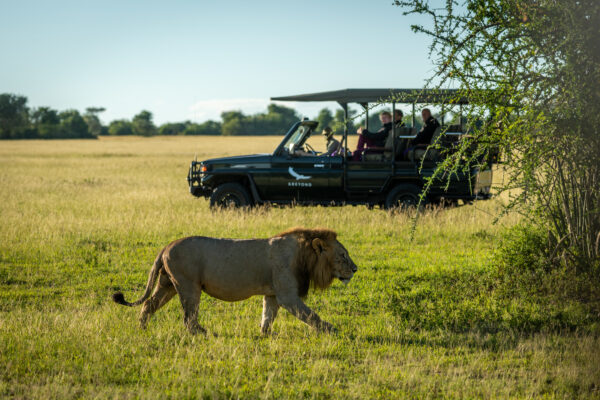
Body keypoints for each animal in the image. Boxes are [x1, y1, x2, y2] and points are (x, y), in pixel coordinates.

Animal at [112, 228, 356, 334]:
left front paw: (264, 334)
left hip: (167, 284)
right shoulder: (287, 295)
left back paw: (142, 328)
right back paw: (201, 333)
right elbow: (312, 315)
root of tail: (166, 245)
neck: (304, 255)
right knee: (188, 318)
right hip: (188, 286)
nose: (355, 269)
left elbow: (268, 315)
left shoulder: (273, 294)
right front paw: (332, 330)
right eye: (343, 255)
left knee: (148, 304)